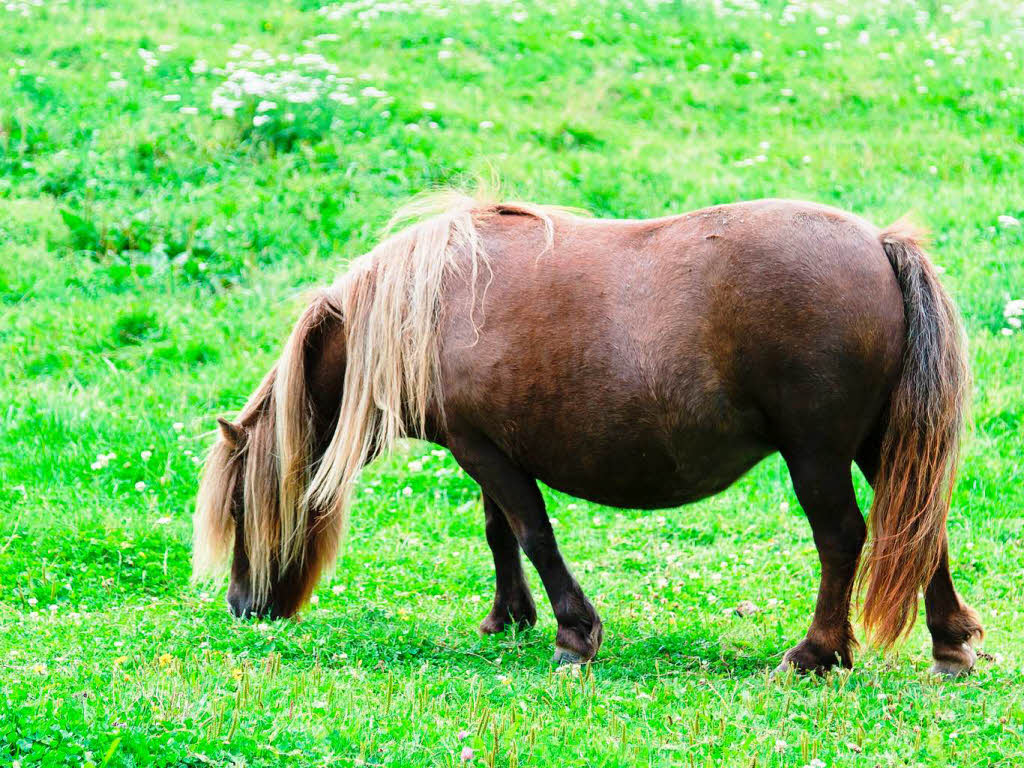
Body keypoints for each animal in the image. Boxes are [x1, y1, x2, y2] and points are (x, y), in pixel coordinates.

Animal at [193, 193, 983, 679]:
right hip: (879, 446)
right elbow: (501, 534)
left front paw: (574, 635)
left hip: (817, 455)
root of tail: (879, 244)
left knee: (843, 538)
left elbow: (534, 534)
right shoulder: (489, 452)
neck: (424, 311)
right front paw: (509, 617)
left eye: (237, 508)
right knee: (921, 529)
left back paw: (817, 652)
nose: (242, 608)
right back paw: (950, 644)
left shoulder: (485, 452)